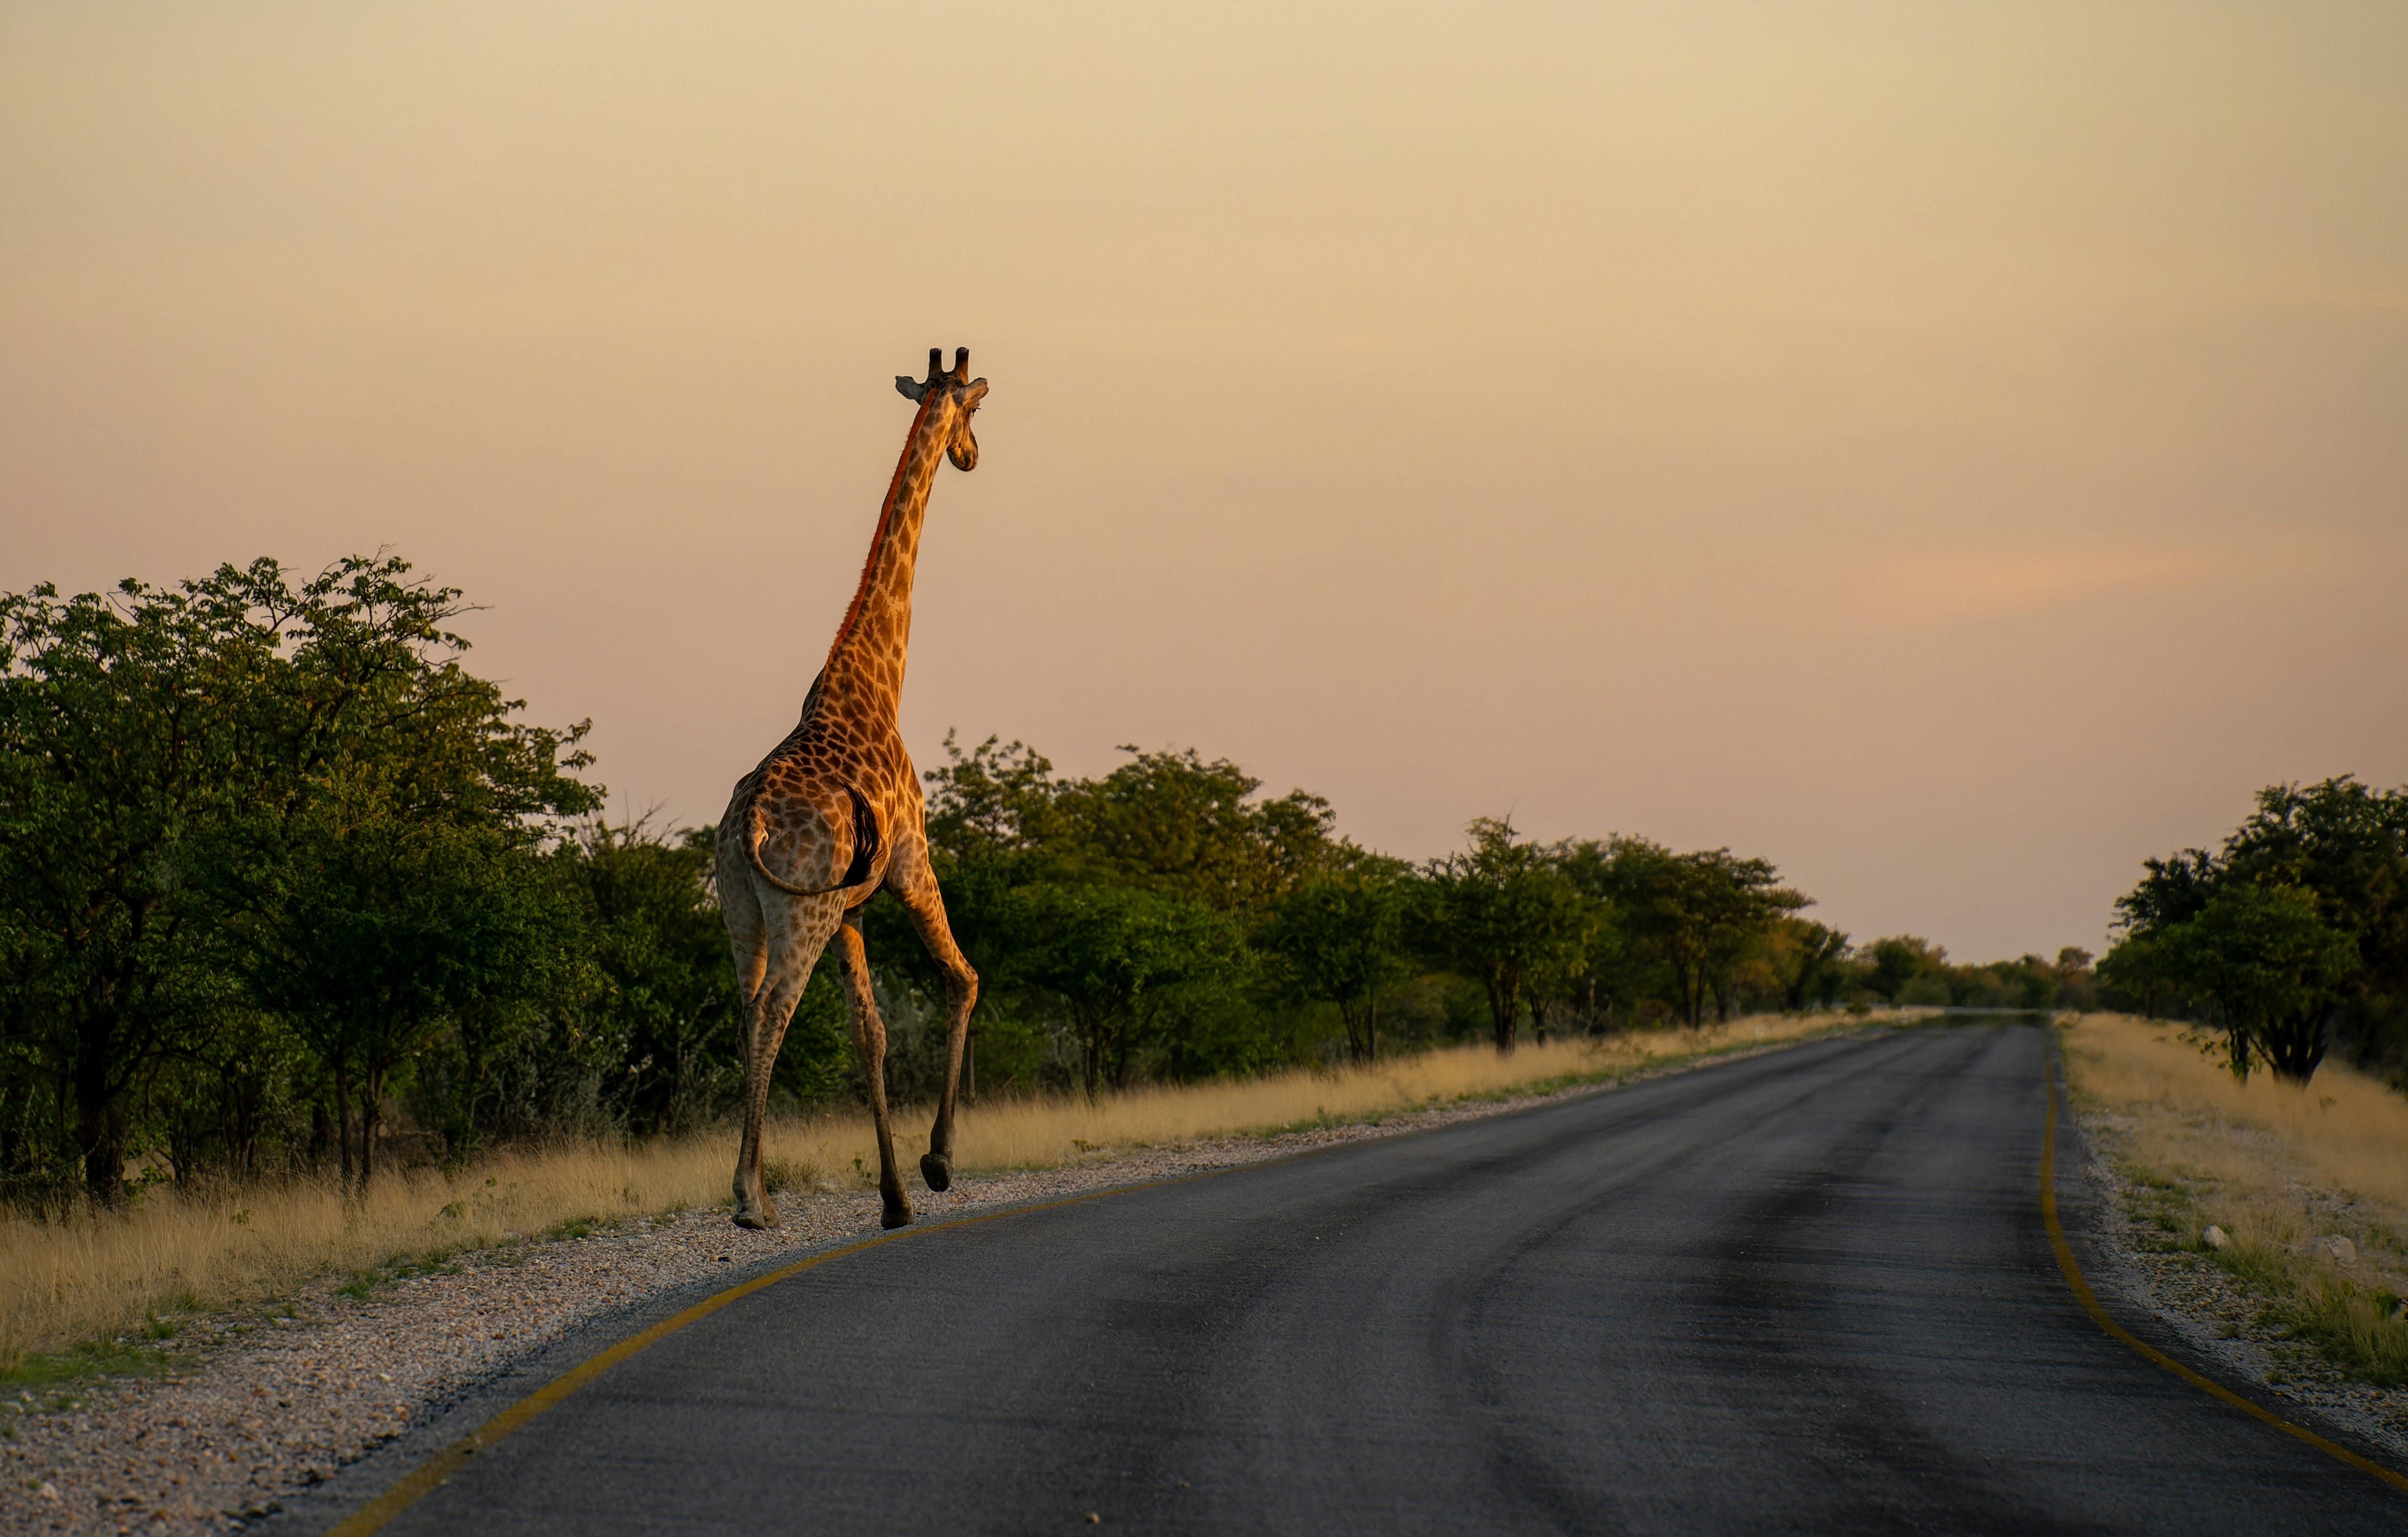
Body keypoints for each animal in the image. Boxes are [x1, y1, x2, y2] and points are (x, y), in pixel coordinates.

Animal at [715, 346, 987, 1231]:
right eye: (974, 408)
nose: (970, 455)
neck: (875, 681)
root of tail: (748, 826)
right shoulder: (910, 862)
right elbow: (962, 979)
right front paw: (937, 1164)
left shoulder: (852, 911)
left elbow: (870, 1033)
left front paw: (895, 1197)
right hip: (798, 910)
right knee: (773, 1010)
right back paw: (750, 1199)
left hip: (743, 905)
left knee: (745, 1008)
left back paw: (755, 1189)